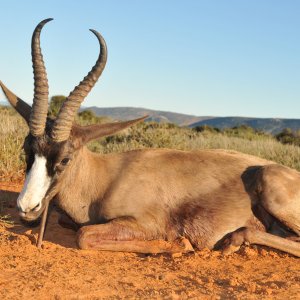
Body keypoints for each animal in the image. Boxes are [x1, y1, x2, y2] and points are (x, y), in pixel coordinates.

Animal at [0, 18, 300, 255]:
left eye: (65, 159)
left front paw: (179, 245)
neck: (104, 178)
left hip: (268, 182)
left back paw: (233, 240)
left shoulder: (145, 223)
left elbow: (84, 236)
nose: (27, 207)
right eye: (27, 150)